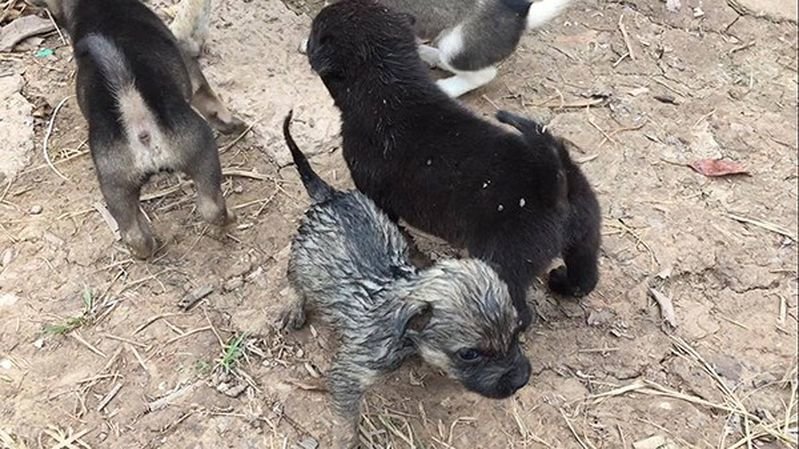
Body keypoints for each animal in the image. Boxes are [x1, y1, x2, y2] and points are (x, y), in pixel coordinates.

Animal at [36, 0, 244, 258]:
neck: (96, 7)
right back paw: (230, 218)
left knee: (134, 235)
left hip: (116, 184)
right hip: (202, 152)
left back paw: (149, 246)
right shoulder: (192, 72)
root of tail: (133, 108)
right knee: (211, 207)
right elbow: (211, 102)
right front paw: (234, 124)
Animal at [282, 111, 532, 444]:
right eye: (469, 354)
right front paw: (346, 439)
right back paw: (293, 306)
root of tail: (330, 196)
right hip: (301, 258)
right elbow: (346, 419)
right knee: (294, 279)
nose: (522, 378)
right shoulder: (349, 374)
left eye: (515, 332)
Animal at [306, 0, 600, 328]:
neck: (391, 89)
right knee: (585, 278)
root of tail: (555, 183)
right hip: (586, 239)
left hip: (505, 263)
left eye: (315, 32)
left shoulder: (376, 195)